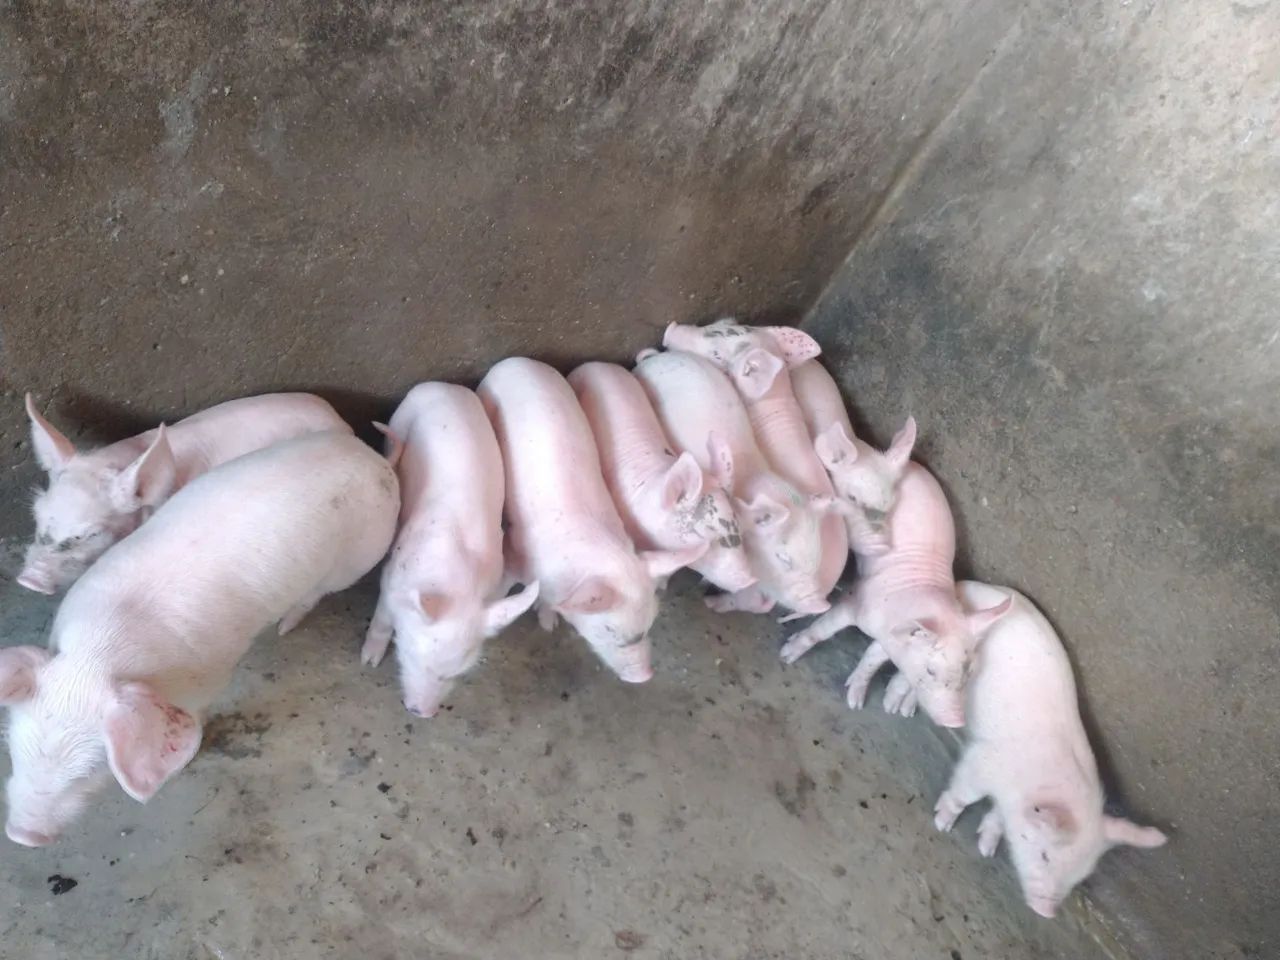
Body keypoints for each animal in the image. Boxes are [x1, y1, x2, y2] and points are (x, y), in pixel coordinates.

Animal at [1, 430, 398, 845]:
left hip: (358, 558)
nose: (21, 834)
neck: (96, 654)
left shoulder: (206, 678)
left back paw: (285, 626)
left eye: (90, 772)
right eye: (14, 749)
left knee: (317, 593)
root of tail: (375, 459)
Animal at [360, 383, 540, 717]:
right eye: (410, 654)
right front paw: (369, 660)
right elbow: (381, 620)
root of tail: (443, 385)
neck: (455, 583)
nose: (422, 713)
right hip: (400, 420)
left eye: (456, 673)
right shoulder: (391, 579)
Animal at [478, 358, 702, 683]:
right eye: (608, 628)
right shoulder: (517, 555)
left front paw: (548, 622)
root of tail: (518, 361)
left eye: (651, 620)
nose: (645, 676)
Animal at [779, 462, 1010, 727]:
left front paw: (856, 702)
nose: (956, 722)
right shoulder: (855, 603)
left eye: (970, 671)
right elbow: (823, 629)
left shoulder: (890, 641)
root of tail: (913, 465)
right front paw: (786, 655)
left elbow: (872, 658)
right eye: (931, 670)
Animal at [934, 580, 1168, 918]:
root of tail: (967, 584)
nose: (1047, 912)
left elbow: (996, 817)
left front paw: (986, 848)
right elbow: (966, 791)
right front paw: (942, 823)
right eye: (1045, 855)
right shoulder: (985, 762)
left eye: (1080, 875)